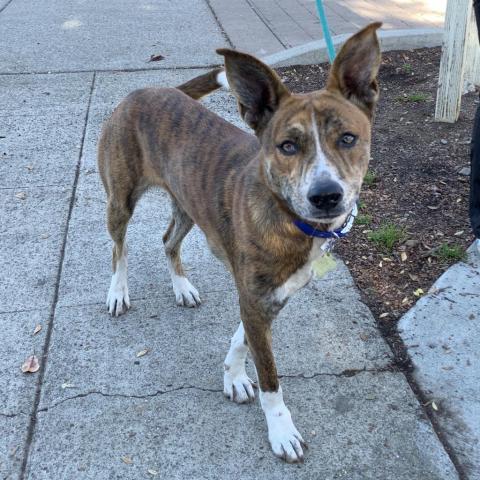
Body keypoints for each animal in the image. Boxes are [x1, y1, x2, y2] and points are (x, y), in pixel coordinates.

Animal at [98, 23, 382, 464]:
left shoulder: (268, 297)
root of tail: (146, 90)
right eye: (287, 146)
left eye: (348, 138)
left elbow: (242, 338)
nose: (326, 196)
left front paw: (232, 375)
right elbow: (270, 377)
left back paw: (181, 286)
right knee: (118, 248)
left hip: (188, 205)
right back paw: (118, 292)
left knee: (167, 239)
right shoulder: (255, 297)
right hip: (120, 200)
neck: (288, 216)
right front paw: (281, 429)